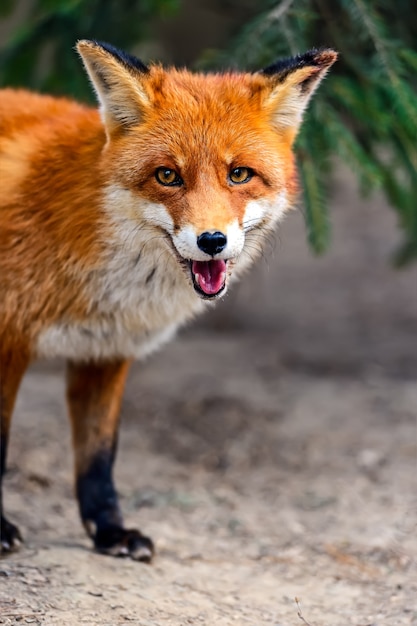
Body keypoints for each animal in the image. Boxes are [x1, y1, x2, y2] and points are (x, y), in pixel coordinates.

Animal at [0, 40, 334, 560]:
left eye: (240, 174)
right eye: (167, 175)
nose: (212, 241)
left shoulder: (106, 349)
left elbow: (98, 457)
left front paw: (110, 532)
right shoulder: (9, 340)